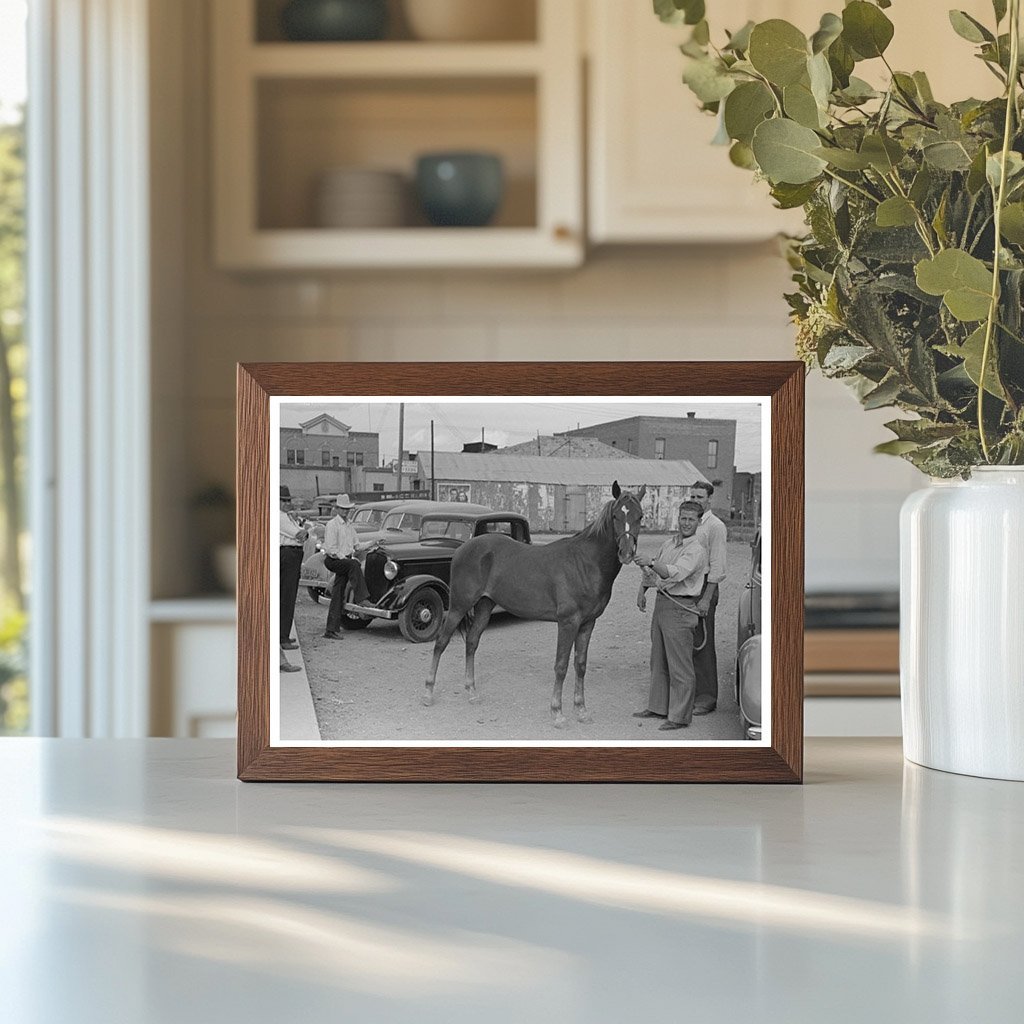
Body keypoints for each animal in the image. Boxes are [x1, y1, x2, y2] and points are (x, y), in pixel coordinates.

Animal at [423, 481, 647, 729]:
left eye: (640, 516)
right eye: (616, 515)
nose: (626, 553)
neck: (584, 563)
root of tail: (462, 548)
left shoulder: (588, 624)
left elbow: (580, 665)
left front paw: (581, 710)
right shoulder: (568, 622)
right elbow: (561, 666)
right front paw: (557, 712)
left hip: (484, 606)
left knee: (471, 643)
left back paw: (472, 692)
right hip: (458, 606)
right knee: (440, 643)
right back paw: (428, 693)